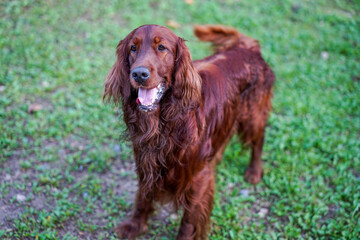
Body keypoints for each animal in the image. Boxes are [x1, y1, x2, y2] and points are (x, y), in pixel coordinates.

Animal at [104, 23, 276, 238]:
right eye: (132, 48)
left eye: (162, 48)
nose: (139, 74)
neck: (165, 121)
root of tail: (249, 48)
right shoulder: (146, 162)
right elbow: (143, 197)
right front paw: (135, 225)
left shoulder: (198, 179)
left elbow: (189, 221)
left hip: (253, 116)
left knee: (258, 140)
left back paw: (254, 171)